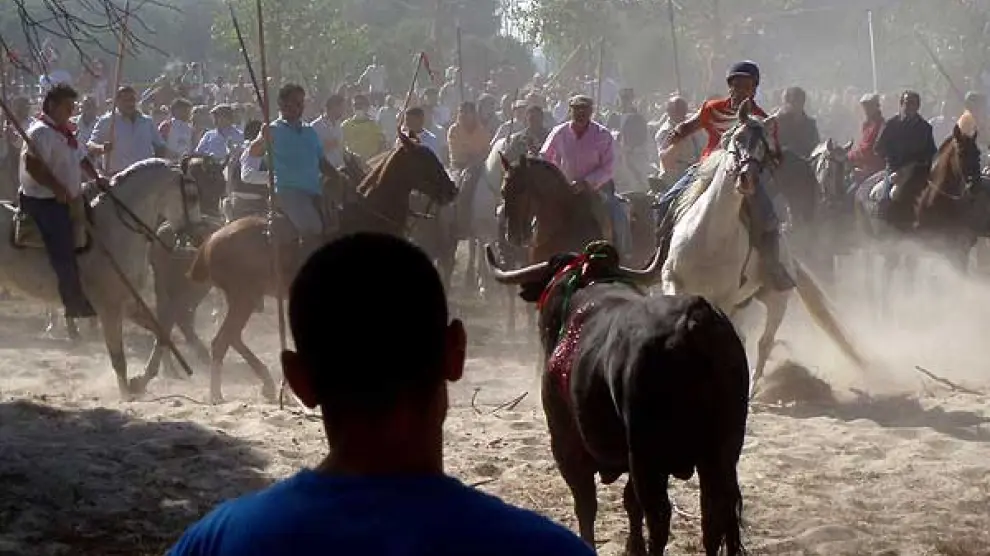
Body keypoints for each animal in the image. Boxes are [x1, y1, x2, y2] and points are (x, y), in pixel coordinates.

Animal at [0, 159, 202, 398]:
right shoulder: (110, 308)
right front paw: (126, 395)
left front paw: (140, 382)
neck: (113, 232)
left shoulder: (129, 303)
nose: (198, 237)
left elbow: (162, 333)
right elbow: (118, 358)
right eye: (192, 196)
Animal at [187, 135, 458, 404]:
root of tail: (210, 241)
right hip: (243, 297)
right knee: (221, 341)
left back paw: (267, 385)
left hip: (245, 298)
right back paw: (219, 394)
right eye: (424, 159)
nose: (452, 190)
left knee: (231, 338)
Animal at [488, 244, 752, 556]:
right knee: (713, 517)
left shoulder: (567, 445)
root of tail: (695, 322)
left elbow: (586, 505)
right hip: (722, 453)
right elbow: (629, 503)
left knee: (660, 517)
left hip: (648, 457)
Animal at [664, 101, 864, 386]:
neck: (710, 237)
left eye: (765, 147)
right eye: (737, 137)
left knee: (763, 343)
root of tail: (790, 258)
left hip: (776, 300)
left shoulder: (724, 299)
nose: (747, 177)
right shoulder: (672, 280)